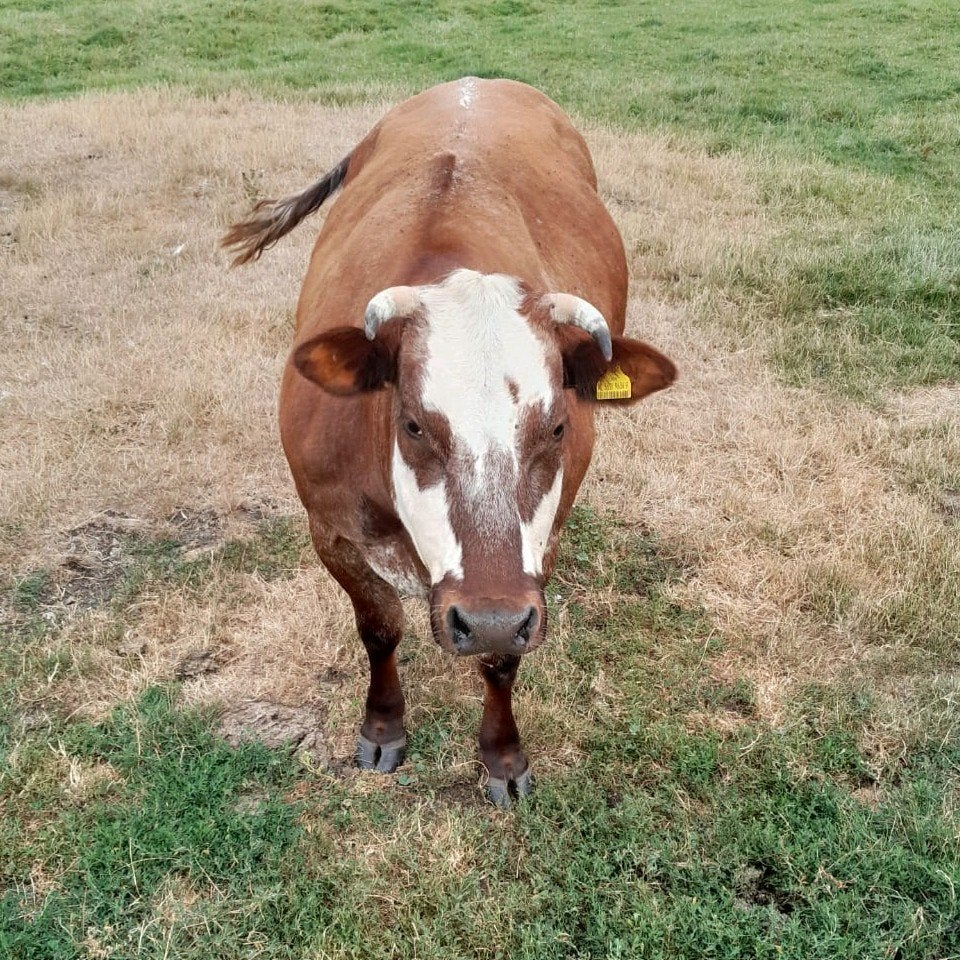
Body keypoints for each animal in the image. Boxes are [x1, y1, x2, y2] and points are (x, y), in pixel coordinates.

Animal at [223, 78, 676, 806]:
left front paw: (503, 758)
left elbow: (502, 658)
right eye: (412, 423)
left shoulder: (534, 557)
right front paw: (382, 729)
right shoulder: (329, 530)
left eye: (556, 427)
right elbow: (379, 628)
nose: (484, 617)